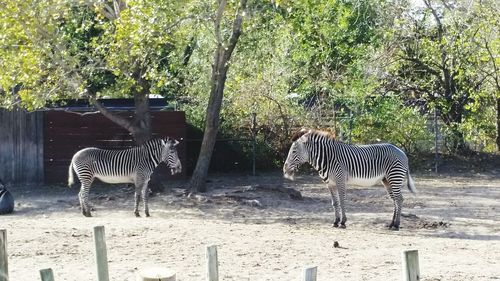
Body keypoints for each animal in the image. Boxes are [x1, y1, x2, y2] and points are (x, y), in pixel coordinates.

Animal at [284, 128, 416, 229]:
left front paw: (343, 222)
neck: (327, 158)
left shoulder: (340, 180)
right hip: (387, 180)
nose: (284, 170)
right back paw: (391, 224)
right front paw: (335, 221)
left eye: (294, 151)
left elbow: (342, 201)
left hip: (395, 177)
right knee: (395, 200)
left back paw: (396, 225)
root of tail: (402, 152)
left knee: (399, 199)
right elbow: (335, 202)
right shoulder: (330, 184)